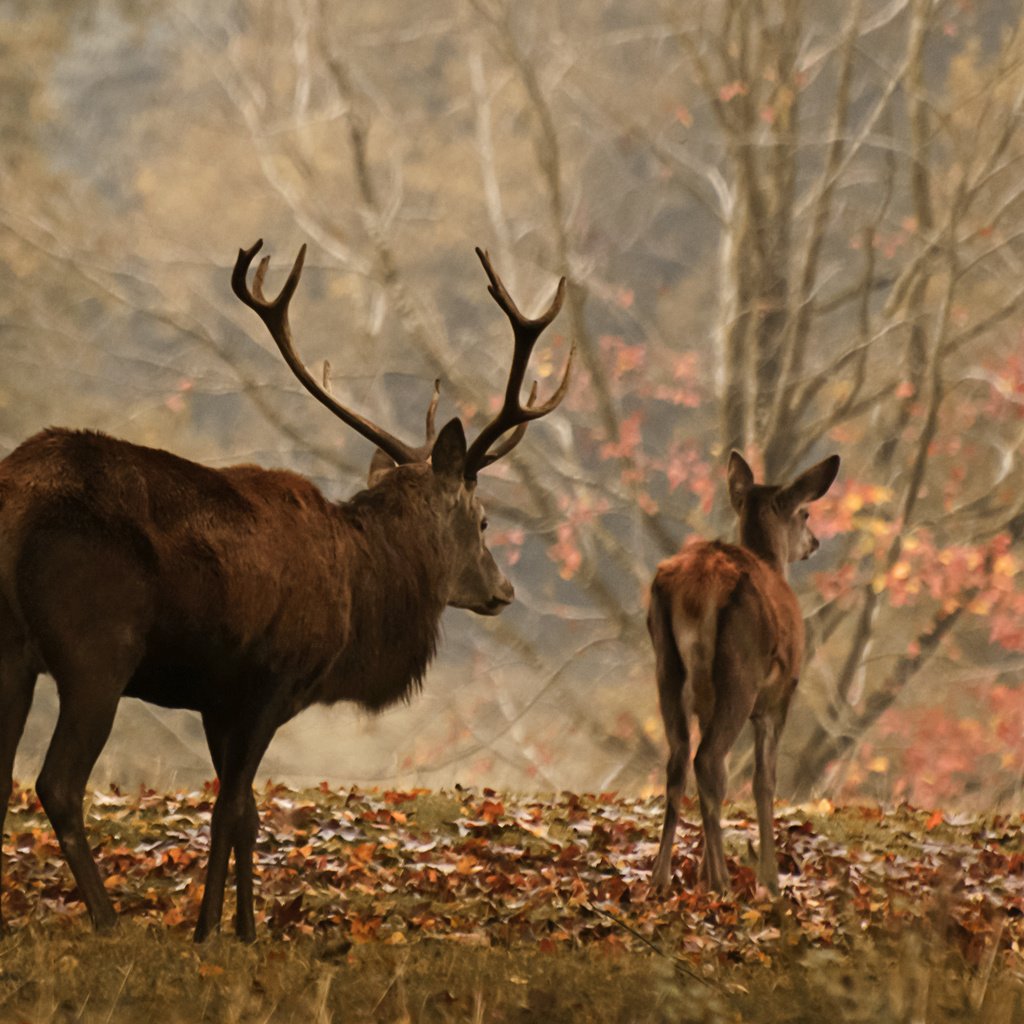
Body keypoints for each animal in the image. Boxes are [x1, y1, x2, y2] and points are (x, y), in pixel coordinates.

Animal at [651, 452, 835, 892]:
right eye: (805, 512)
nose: (814, 543)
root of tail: (699, 587)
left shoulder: (706, 702)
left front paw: (701, 869)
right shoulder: (780, 696)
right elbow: (764, 781)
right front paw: (770, 878)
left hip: (667, 666)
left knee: (681, 759)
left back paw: (662, 877)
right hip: (741, 671)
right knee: (708, 760)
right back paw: (722, 881)